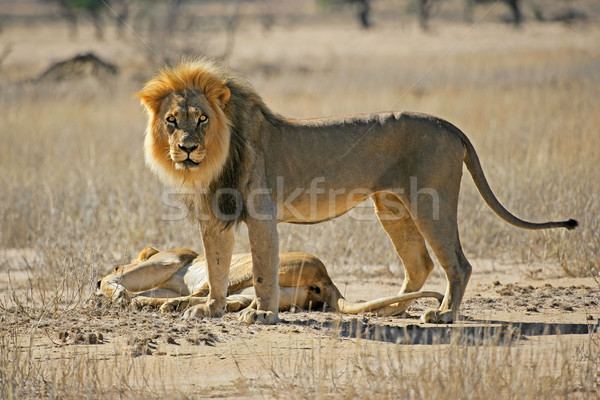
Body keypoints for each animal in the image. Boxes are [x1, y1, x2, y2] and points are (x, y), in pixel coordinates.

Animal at [136, 57, 576, 324]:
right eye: (172, 121)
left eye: (202, 119)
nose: (187, 148)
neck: (215, 159)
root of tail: (450, 126)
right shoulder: (214, 218)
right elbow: (217, 268)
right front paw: (209, 309)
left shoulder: (261, 214)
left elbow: (261, 269)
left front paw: (261, 314)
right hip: (392, 207)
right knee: (420, 263)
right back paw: (393, 310)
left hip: (430, 203)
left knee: (458, 263)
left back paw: (443, 315)